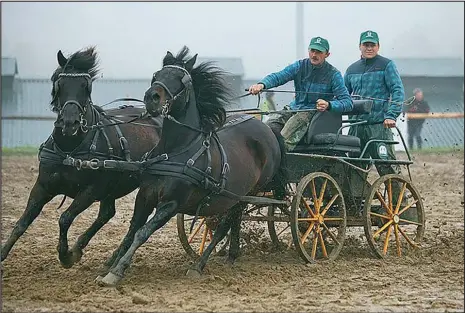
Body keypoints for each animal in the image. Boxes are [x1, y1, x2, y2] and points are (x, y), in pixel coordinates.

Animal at [0, 47, 162, 268]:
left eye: (86, 86)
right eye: (59, 83)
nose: (70, 122)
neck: (69, 149)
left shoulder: (91, 190)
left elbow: (65, 218)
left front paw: (66, 256)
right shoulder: (42, 186)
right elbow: (22, 222)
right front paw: (2, 254)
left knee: (133, 221)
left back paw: (110, 257)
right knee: (107, 214)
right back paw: (84, 248)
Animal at [98, 45, 286, 286]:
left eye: (181, 80)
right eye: (157, 75)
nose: (151, 98)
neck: (175, 150)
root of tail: (267, 128)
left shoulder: (171, 204)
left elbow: (143, 232)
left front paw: (118, 270)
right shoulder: (145, 196)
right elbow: (132, 229)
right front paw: (110, 264)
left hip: (248, 193)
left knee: (226, 225)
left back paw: (199, 265)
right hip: (236, 196)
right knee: (233, 221)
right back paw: (231, 256)